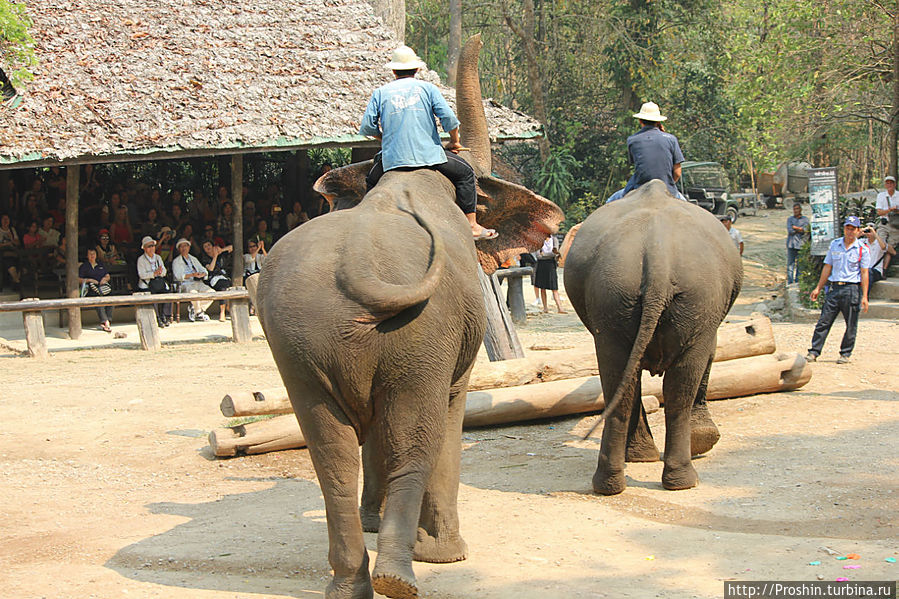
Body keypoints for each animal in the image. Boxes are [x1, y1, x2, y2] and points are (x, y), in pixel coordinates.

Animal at [255, 36, 564, 599]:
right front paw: (447, 553)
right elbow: (449, 411)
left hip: (299, 343)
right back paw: (403, 575)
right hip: (419, 332)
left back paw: (353, 583)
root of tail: (355, 266)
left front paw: (376, 523)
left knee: (330, 454)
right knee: (414, 439)